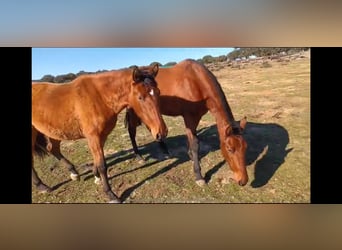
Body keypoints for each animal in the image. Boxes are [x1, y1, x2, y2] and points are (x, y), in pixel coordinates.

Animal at [31, 63, 168, 202]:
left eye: (158, 92)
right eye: (140, 97)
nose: (161, 132)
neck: (100, 97)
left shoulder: (101, 136)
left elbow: (97, 161)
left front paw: (96, 177)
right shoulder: (93, 137)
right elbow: (102, 165)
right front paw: (110, 194)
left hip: (55, 132)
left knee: (53, 149)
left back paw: (74, 173)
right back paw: (42, 186)